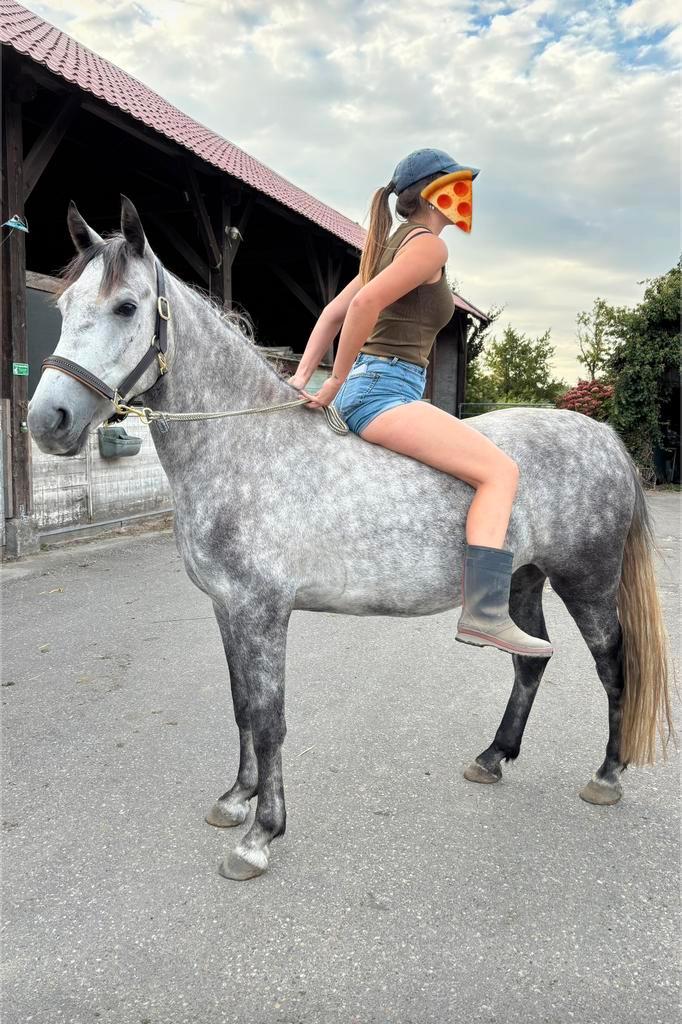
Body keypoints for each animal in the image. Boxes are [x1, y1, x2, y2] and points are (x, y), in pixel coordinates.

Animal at [27, 197, 675, 880]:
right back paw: (493, 756)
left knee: (614, 666)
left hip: (588, 582)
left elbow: (269, 718)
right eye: (63, 308)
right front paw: (236, 799)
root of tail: (602, 435)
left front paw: (261, 834)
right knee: (530, 661)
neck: (246, 448)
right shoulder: (229, 609)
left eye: (126, 306)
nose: (48, 421)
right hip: (523, 581)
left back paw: (607, 775)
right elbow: (241, 707)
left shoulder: (261, 611)